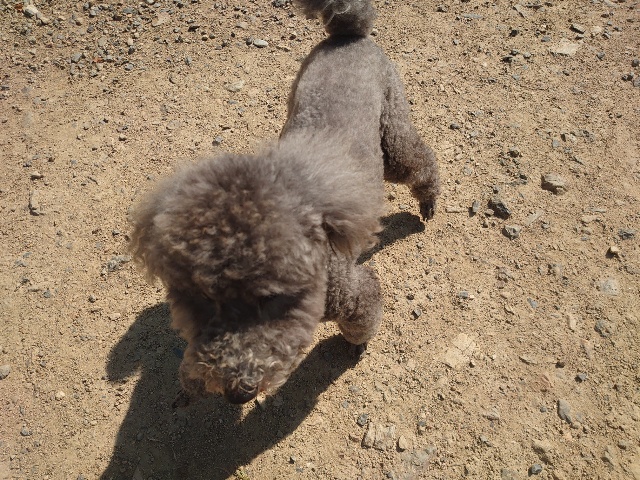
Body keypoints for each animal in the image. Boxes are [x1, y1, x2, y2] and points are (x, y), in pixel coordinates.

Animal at [129, 0, 440, 405]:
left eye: (270, 298)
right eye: (203, 301)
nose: (238, 392)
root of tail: (348, 34)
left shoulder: (353, 290)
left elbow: (364, 315)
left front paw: (356, 346)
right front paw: (190, 381)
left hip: (392, 139)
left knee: (420, 161)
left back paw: (429, 202)